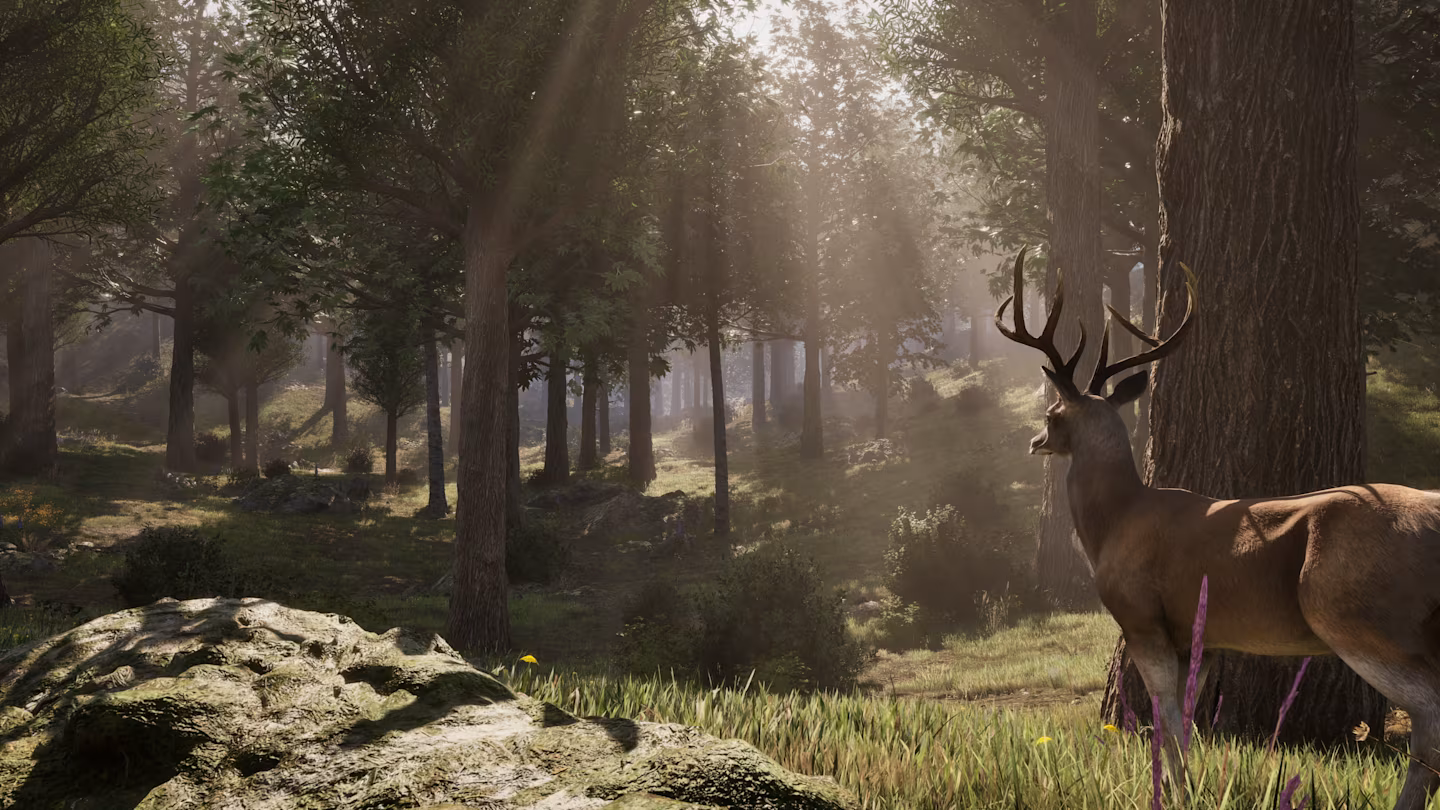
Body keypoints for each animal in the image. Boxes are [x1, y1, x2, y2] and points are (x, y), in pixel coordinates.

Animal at [994, 248, 1440, 810]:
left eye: (1053, 413)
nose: (1036, 442)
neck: (1116, 521)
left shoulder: (1141, 617)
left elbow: (1164, 718)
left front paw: (1171, 792)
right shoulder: (1197, 635)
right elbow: (1186, 721)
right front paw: (1185, 789)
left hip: (1360, 615)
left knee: (1430, 716)